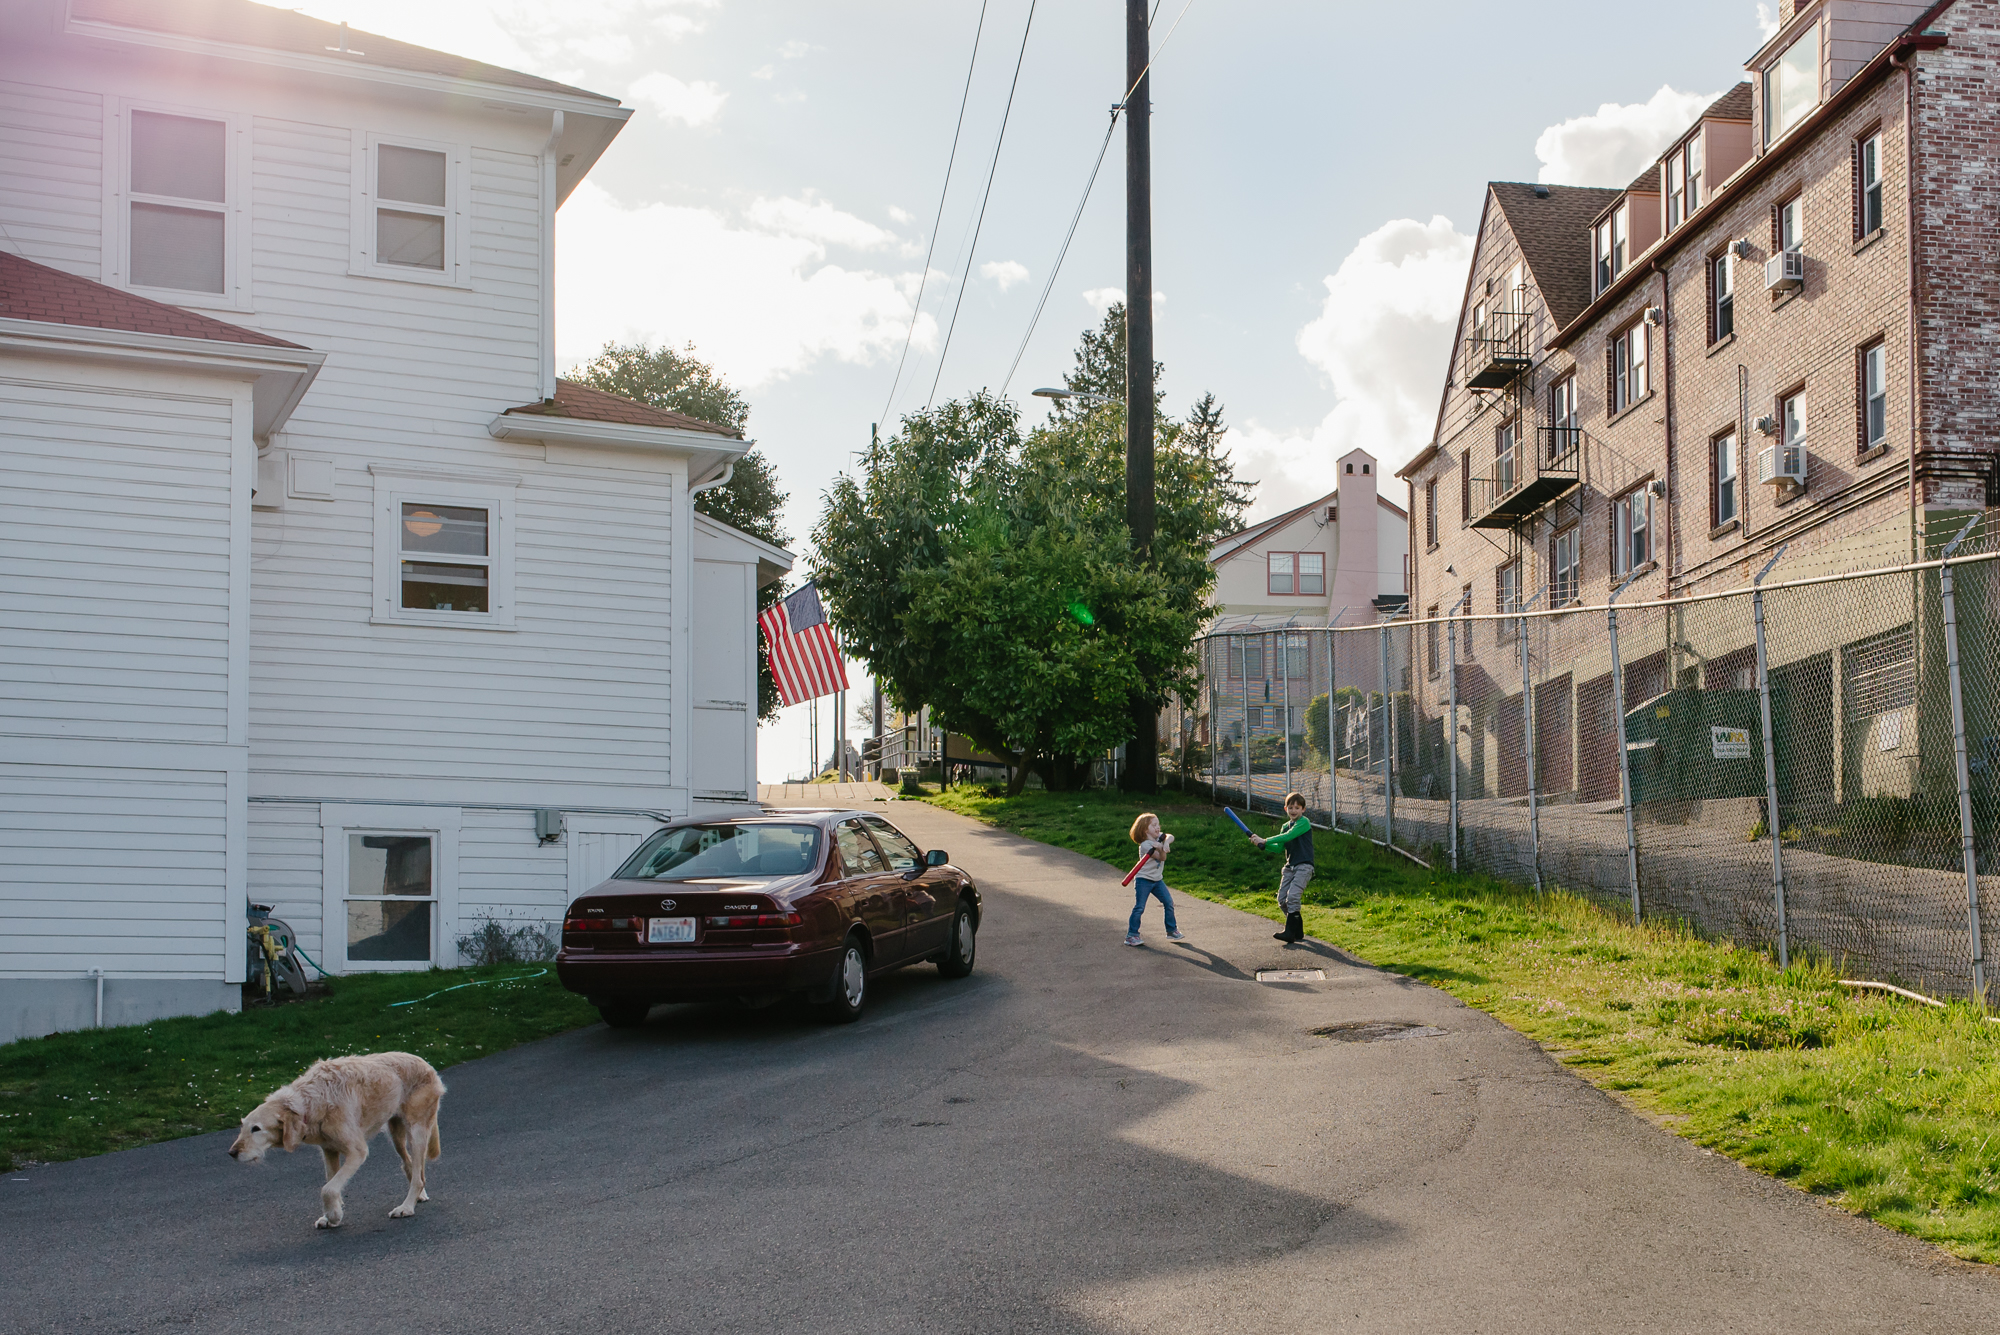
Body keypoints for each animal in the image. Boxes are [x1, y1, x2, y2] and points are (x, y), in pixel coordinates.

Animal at [229, 1055, 446, 1231]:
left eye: (256, 1129)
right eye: (243, 1126)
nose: (232, 1153)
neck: (311, 1102)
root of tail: (427, 1064)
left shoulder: (357, 1152)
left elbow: (328, 1188)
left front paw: (334, 1215)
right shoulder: (329, 1150)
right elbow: (331, 1181)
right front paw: (329, 1216)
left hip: (416, 1132)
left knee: (418, 1175)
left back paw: (406, 1207)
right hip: (396, 1135)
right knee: (411, 1167)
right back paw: (419, 1196)